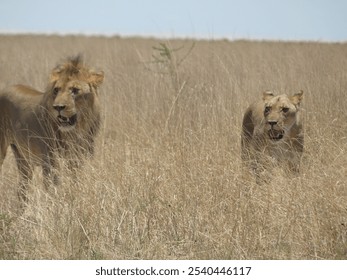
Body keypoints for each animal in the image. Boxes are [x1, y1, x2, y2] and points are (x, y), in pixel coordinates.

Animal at [0, 55, 104, 202]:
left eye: (75, 90)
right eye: (56, 90)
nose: (58, 107)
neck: (77, 129)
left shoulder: (78, 158)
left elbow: (76, 181)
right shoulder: (50, 161)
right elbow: (53, 189)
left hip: (24, 159)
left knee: (22, 190)